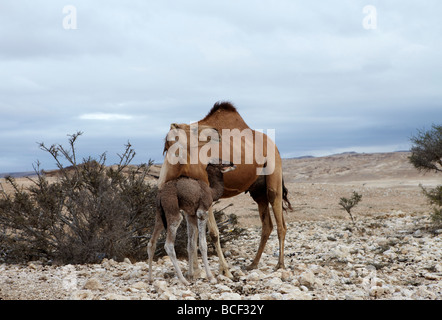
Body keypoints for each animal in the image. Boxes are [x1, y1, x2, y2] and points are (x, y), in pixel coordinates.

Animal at [157, 101, 292, 276]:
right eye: (192, 130)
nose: (215, 133)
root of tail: (274, 146)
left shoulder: (207, 194)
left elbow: (213, 233)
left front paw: (225, 271)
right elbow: (192, 235)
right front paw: (195, 272)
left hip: (273, 180)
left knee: (281, 224)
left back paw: (280, 264)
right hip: (258, 191)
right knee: (267, 224)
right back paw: (253, 264)